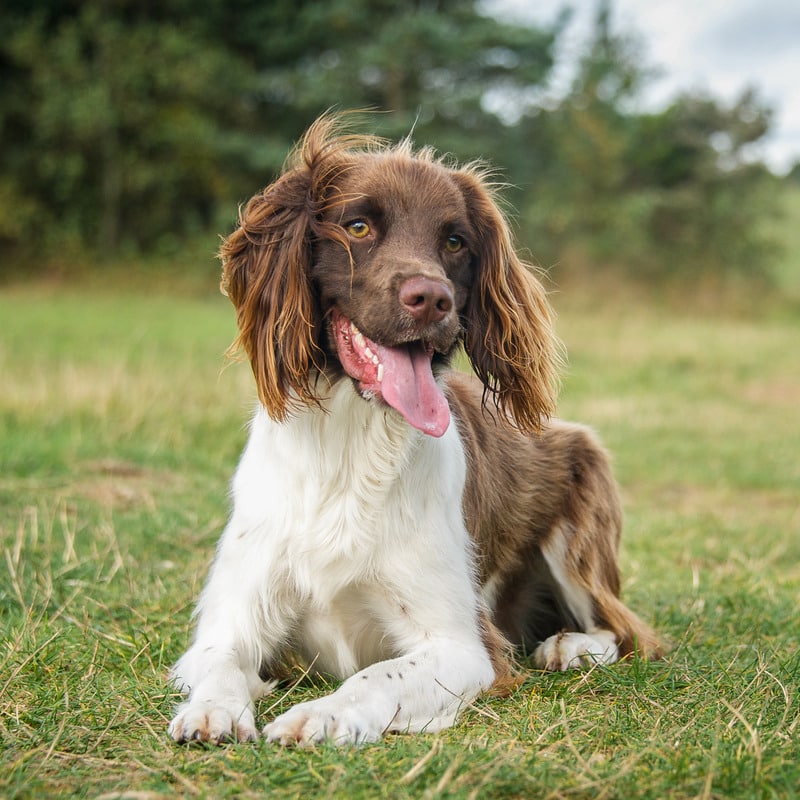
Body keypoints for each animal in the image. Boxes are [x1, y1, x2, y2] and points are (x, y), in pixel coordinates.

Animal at [169, 114, 664, 752]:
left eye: (455, 242)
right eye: (357, 226)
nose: (433, 299)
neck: (350, 449)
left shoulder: (464, 649)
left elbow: (376, 676)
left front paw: (321, 716)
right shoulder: (231, 621)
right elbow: (223, 663)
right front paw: (214, 711)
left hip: (581, 514)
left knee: (625, 630)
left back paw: (570, 646)